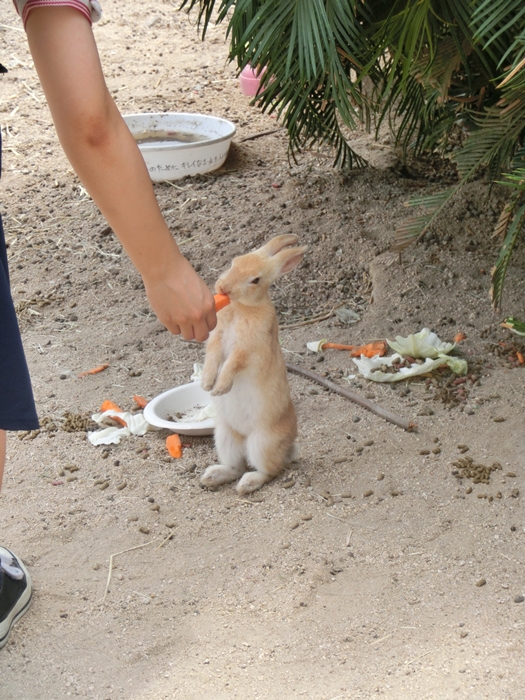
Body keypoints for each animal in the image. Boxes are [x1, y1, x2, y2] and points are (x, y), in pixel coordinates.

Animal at [201, 232, 308, 494]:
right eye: (234, 262)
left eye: (255, 280)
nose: (223, 288)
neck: (241, 307)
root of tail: (288, 448)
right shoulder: (216, 339)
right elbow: (212, 356)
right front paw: (207, 384)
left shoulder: (246, 350)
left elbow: (232, 364)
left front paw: (220, 388)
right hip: (224, 436)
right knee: (236, 466)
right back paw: (212, 476)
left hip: (261, 442)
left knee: (270, 470)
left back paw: (247, 484)